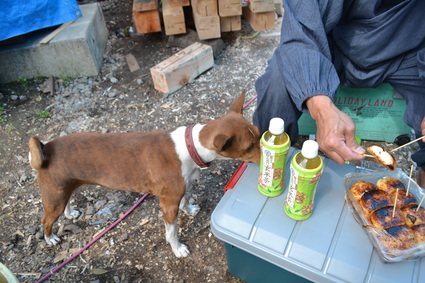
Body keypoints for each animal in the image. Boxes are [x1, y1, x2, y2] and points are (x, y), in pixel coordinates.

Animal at [28, 91, 260, 258]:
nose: (268, 155)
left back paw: (70, 214)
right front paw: (177, 249)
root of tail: (47, 148)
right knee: (45, 220)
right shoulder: (168, 204)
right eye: (249, 148)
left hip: (62, 189)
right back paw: (50, 239)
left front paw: (189, 209)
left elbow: (185, 201)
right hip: (54, 198)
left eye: (258, 134)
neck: (189, 147)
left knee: (65, 202)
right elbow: (171, 232)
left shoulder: (180, 191)